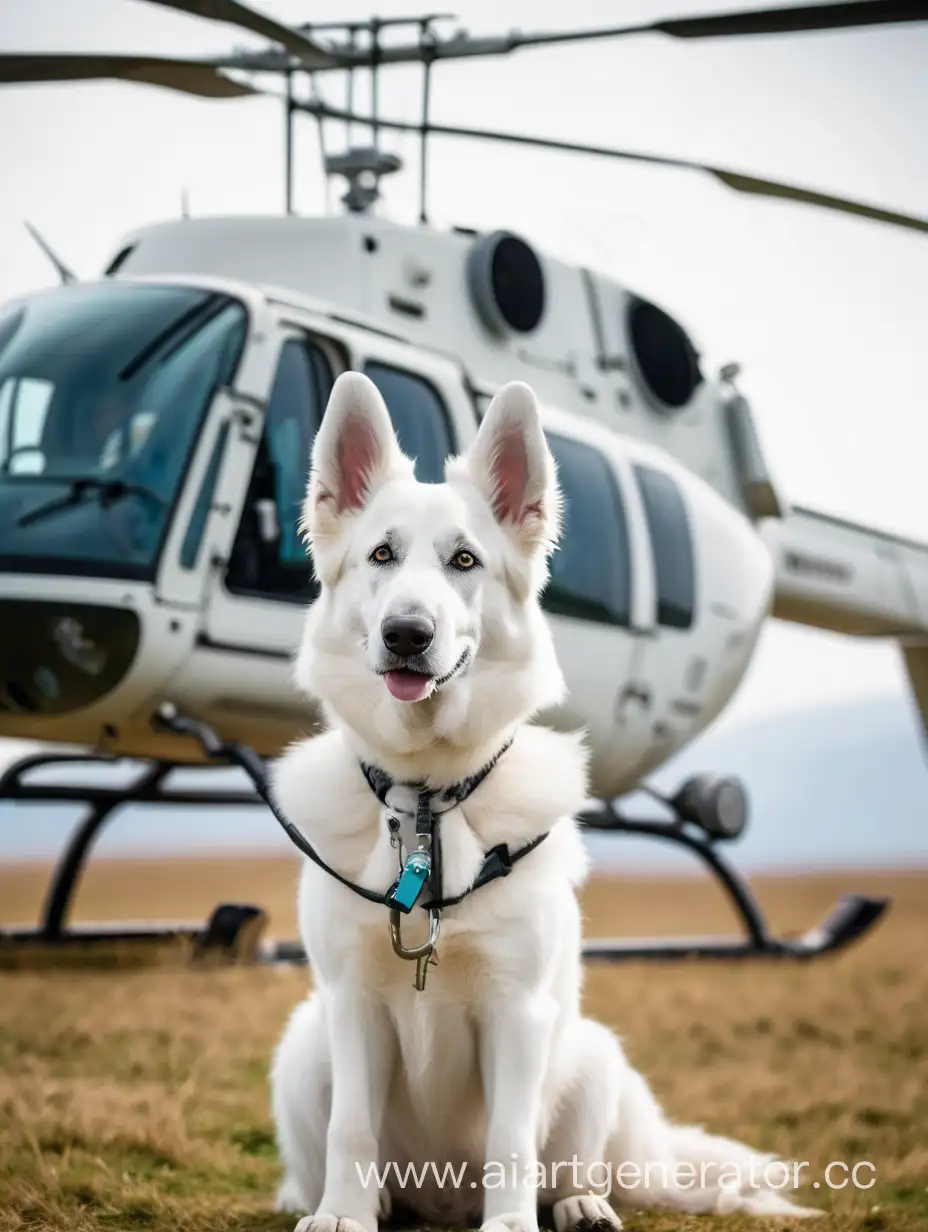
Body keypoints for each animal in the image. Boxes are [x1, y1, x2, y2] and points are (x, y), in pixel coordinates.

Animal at [266, 369, 808, 1227]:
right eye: (382, 554)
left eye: (464, 560)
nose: (407, 634)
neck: (429, 807)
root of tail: (441, 1202)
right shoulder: (349, 1003)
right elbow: (353, 1127)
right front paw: (343, 1216)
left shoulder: (517, 1012)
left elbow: (510, 1141)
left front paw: (513, 1223)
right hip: (301, 1047)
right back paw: (358, 1200)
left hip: (592, 1053)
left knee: (572, 1164)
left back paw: (579, 1203)